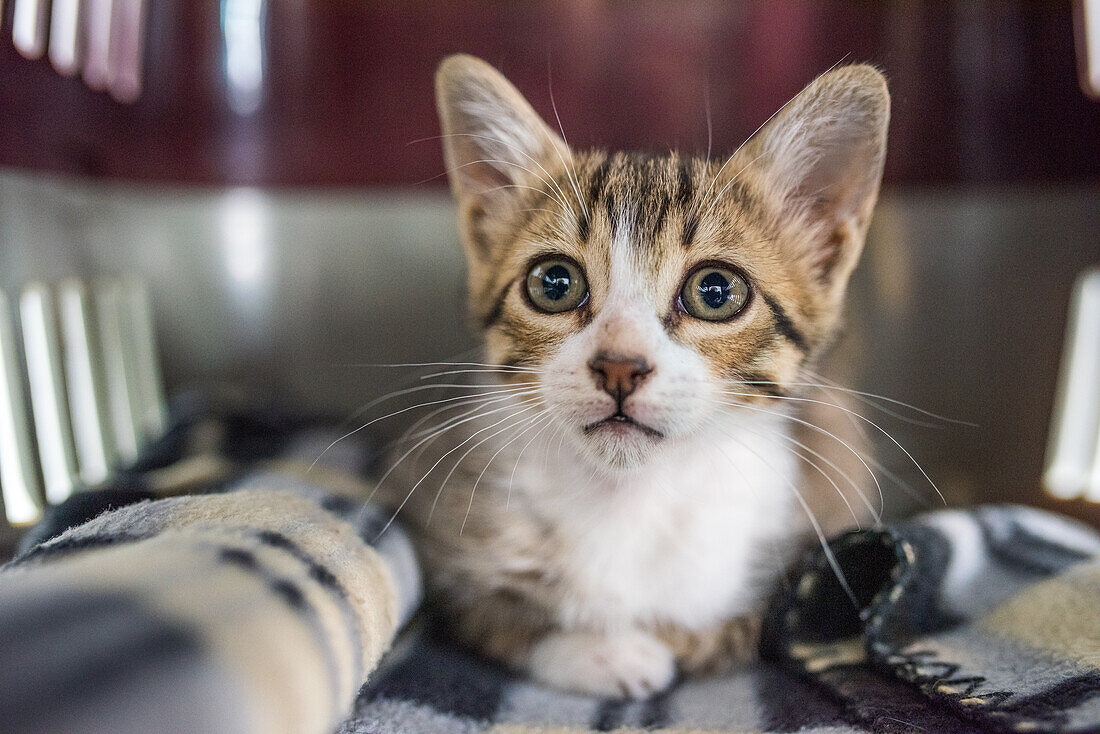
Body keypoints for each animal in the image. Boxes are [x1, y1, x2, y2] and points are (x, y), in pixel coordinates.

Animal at [382, 54, 888, 699]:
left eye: (715, 291)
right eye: (554, 283)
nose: (619, 366)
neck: (626, 499)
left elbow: (728, 629)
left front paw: (643, 643)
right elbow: (496, 617)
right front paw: (601, 653)